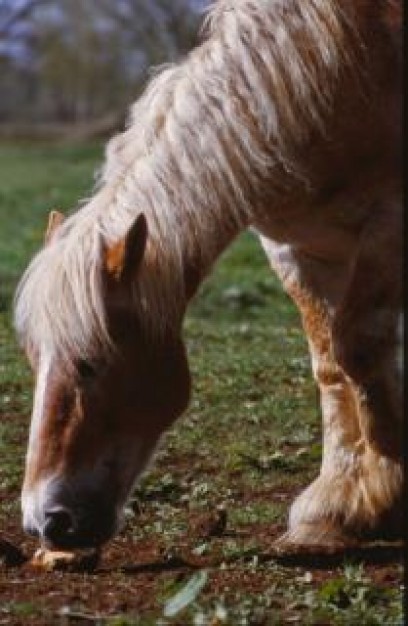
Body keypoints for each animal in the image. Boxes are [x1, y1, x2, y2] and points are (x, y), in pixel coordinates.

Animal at [13, 0, 402, 548]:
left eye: (90, 364)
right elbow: (330, 364)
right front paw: (338, 506)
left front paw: (385, 490)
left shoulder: (388, 225)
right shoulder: (298, 250)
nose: (46, 522)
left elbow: (359, 350)